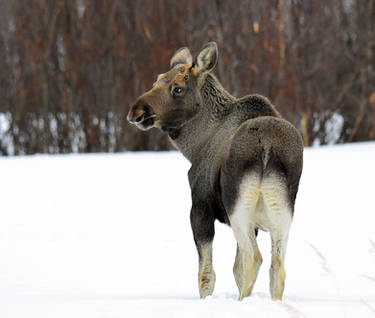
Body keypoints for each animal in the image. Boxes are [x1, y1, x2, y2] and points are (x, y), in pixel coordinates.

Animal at [128, 42, 304, 300]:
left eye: (178, 88)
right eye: (157, 80)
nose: (136, 112)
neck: (196, 144)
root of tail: (267, 146)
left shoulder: (200, 206)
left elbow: (206, 275)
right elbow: (235, 269)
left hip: (237, 205)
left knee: (254, 258)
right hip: (282, 207)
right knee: (276, 266)